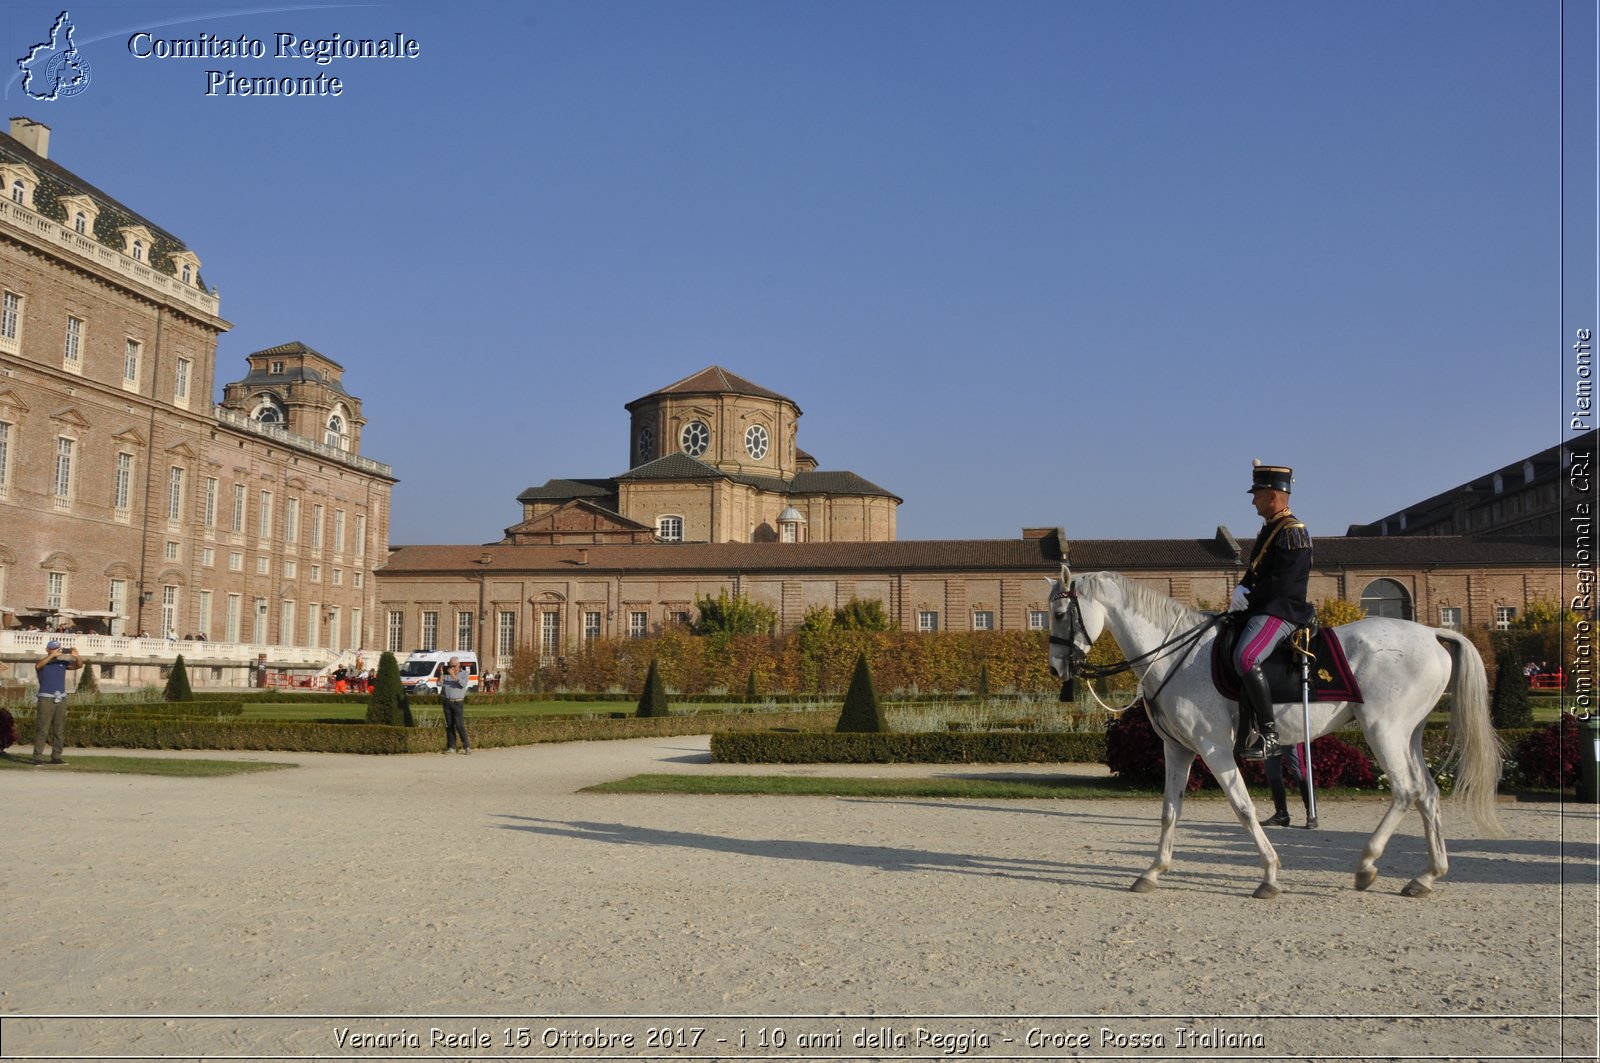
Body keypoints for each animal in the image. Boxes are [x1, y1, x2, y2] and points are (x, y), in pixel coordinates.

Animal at [1043, 563, 1504, 896]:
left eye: (1061, 613)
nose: (1056, 669)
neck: (1176, 654)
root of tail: (1432, 632)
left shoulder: (1214, 749)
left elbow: (1243, 808)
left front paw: (1269, 873)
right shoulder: (1179, 750)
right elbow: (1170, 811)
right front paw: (1154, 871)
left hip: (1382, 731)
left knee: (1406, 791)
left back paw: (1366, 866)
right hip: (1409, 735)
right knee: (1427, 793)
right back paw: (1426, 876)